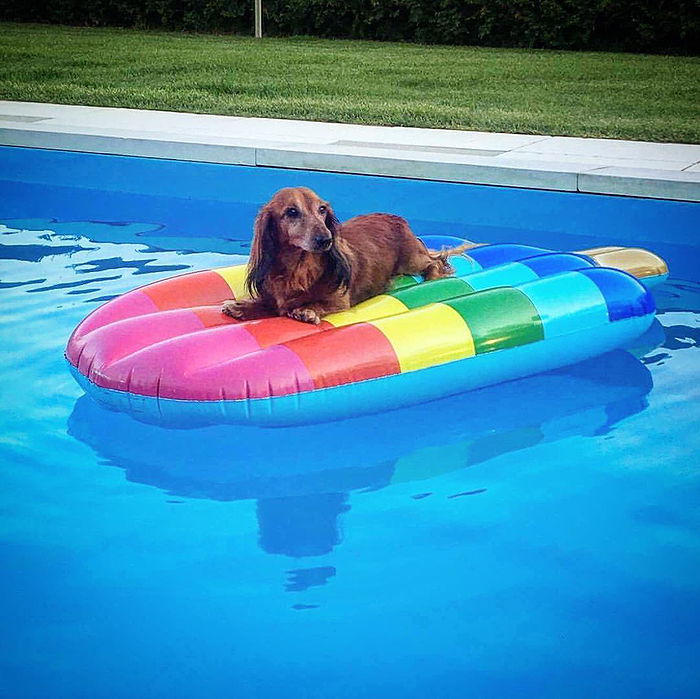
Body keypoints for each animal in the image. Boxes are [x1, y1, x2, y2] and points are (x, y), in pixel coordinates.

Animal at [223, 187, 476, 326]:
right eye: (291, 212)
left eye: (322, 210)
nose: (326, 240)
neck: (298, 269)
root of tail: (395, 217)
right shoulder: (274, 298)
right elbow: (265, 303)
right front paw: (241, 306)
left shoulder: (339, 301)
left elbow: (316, 303)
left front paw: (306, 311)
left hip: (411, 260)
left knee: (434, 263)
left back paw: (432, 277)